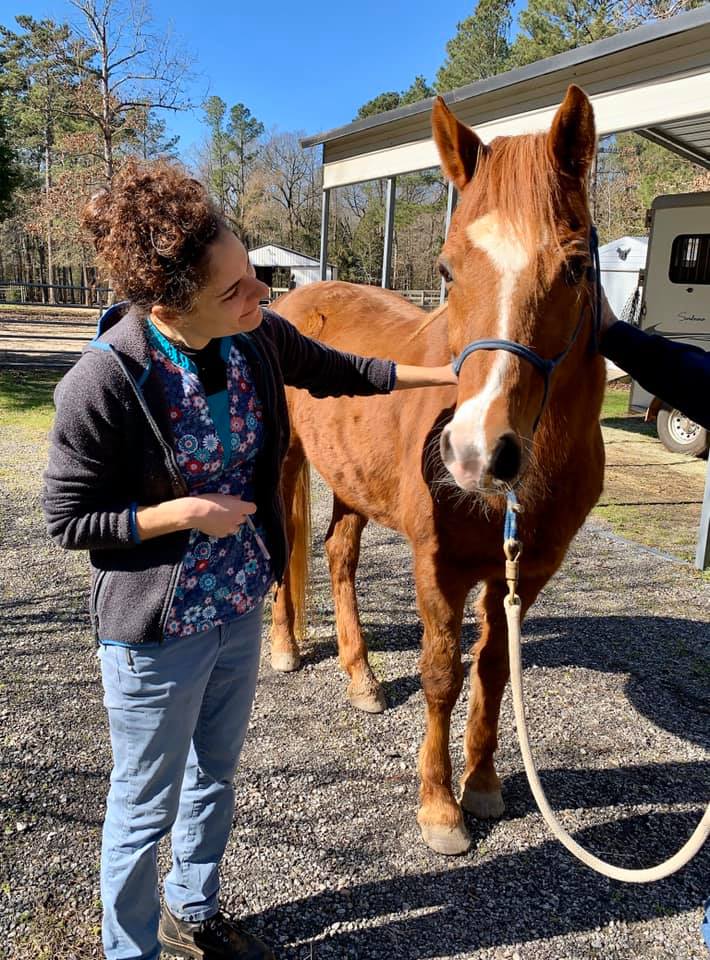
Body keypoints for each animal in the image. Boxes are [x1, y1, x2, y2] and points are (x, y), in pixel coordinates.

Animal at [270, 86, 604, 852]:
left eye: (576, 266)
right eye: (448, 270)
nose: (480, 453)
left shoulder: (522, 576)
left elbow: (492, 671)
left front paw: (481, 786)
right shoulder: (437, 566)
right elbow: (442, 675)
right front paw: (439, 807)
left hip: (352, 487)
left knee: (337, 555)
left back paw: (361, 679)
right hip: (283, 463)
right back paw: (285, 649)